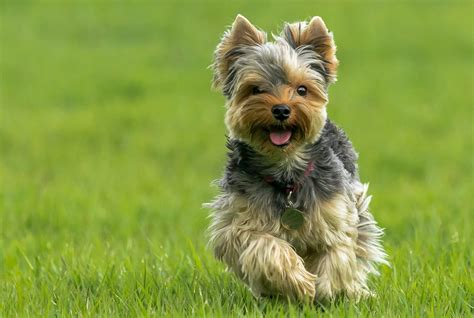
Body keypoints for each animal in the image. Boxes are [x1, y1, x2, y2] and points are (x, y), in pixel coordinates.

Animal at [206, 14, 386, 302]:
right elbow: (265, 247)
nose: (281, 109)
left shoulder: (337, 213)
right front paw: (298, 283)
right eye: (256, 89)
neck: (286, 171)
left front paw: (326, 290)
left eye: (302, 90)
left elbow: (338, 254)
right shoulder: (238, 223)